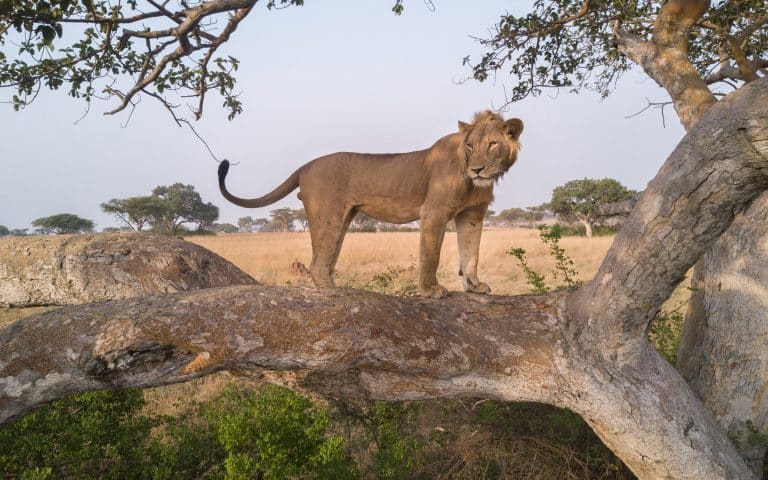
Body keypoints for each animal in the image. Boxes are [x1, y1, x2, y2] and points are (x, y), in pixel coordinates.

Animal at [218, 111, 523, 298]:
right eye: (470, 146)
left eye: (493, 144)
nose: (477, 169)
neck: (472, 181)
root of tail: (306, 166)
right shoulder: (434, 212)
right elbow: (431, 255)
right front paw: (430, 290)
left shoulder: (472, 214)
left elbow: (471, 253)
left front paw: (474, 286)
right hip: (327, 215)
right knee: (317, 263)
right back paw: (334, 294)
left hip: (343, 219)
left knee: (326, 262)